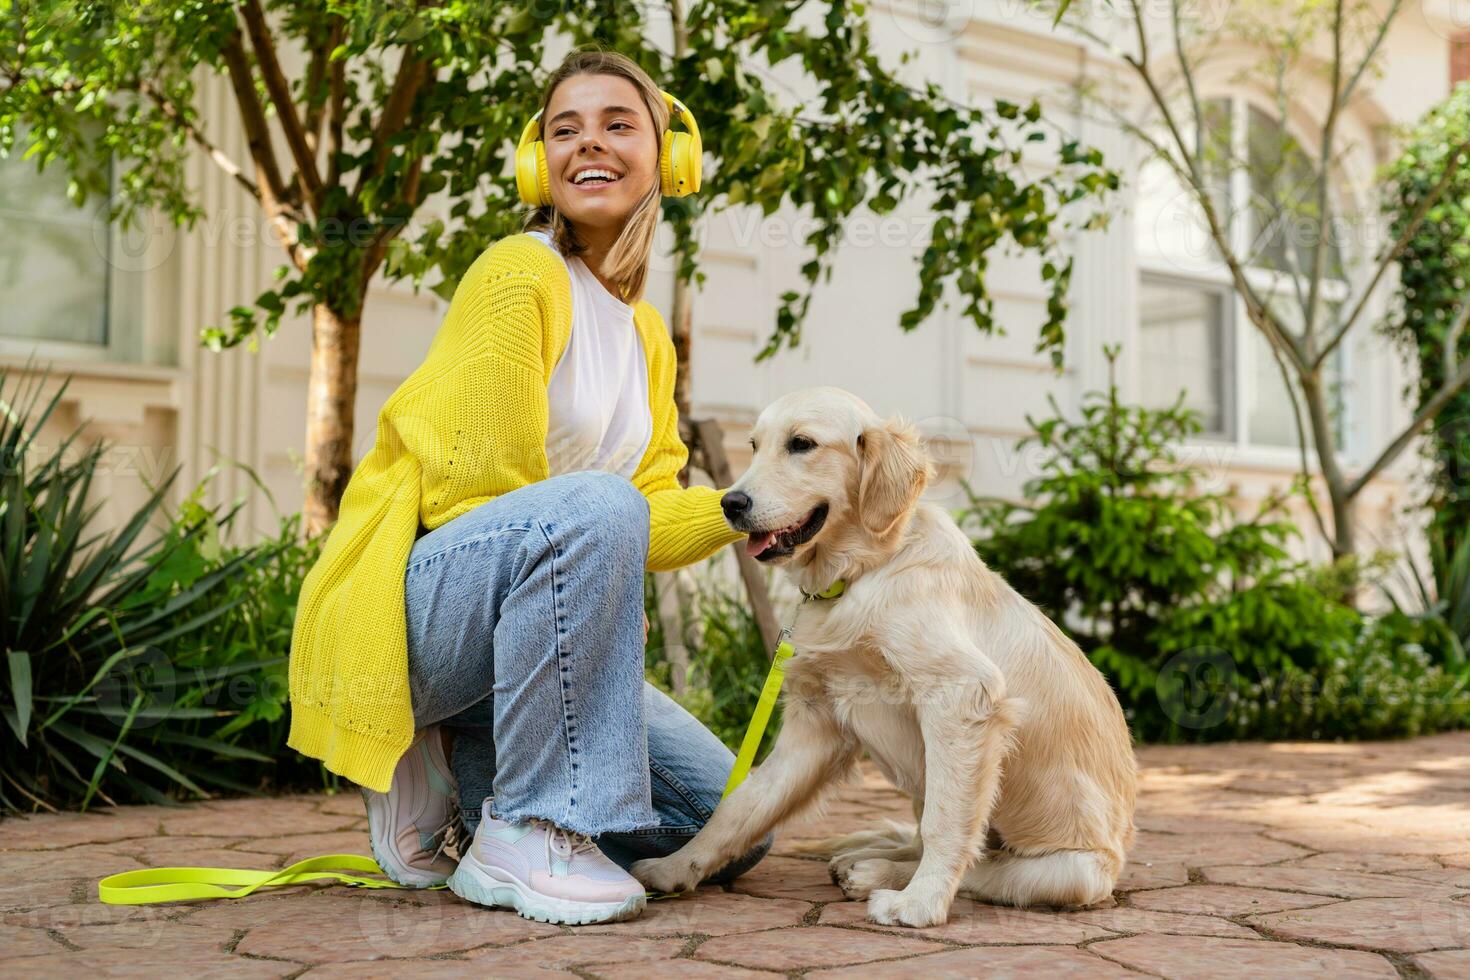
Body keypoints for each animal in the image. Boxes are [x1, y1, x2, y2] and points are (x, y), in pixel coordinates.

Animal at [632, 384, 1134, 928]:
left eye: (802, 444)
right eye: (753, 445)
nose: (731, 502)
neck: (859, 574)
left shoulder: (962, 698)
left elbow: (945, 825)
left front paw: (920, 904)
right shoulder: (817, 725)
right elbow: (740, 807)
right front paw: (674, 868)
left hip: (1072, 872)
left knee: (983, 862)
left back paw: (877, 874)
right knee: (922, 842)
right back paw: (865, 862)